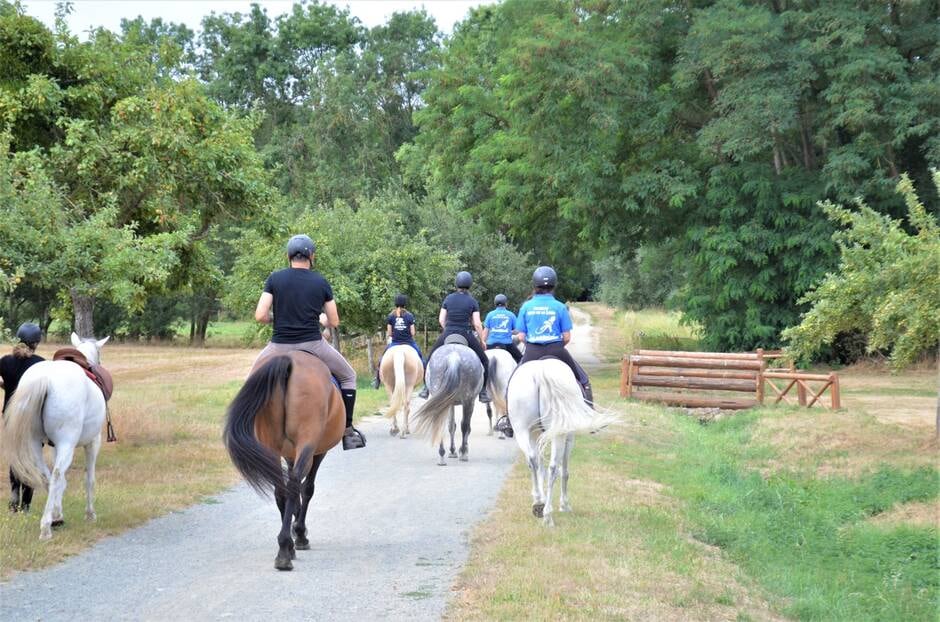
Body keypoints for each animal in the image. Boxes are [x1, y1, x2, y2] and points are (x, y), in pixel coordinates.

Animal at [0, 332, 109, 540]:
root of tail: (45, 379)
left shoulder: (52, 446)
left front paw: (58, 512)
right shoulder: (93, 442)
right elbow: (89, 480)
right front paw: (90, 514)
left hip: (34, 443)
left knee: (46, 475)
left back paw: (54, 518)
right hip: (67, 443)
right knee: (56, 474)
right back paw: (46, 528)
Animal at [414, 336, 484, 468]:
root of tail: (453, 357)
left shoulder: (449, 402)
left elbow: (451, 425)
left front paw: (452, 451)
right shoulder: (469, 401)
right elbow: (463, 426)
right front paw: (460, 450)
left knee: (440, 423)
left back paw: (442, 456)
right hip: (468, 400)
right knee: (465, 425)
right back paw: (463, 453)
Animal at [506, 358, 616, 528]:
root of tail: (541, 372)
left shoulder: (536, 435)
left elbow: (539, 467)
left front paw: (542, 497)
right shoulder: (569, 437)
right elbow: (564, 472)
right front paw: (564, 505)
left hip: (521, 430)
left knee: (532, 461)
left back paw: (538, 502)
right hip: (559, 434)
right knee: (553, 468)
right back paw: (547, 516)